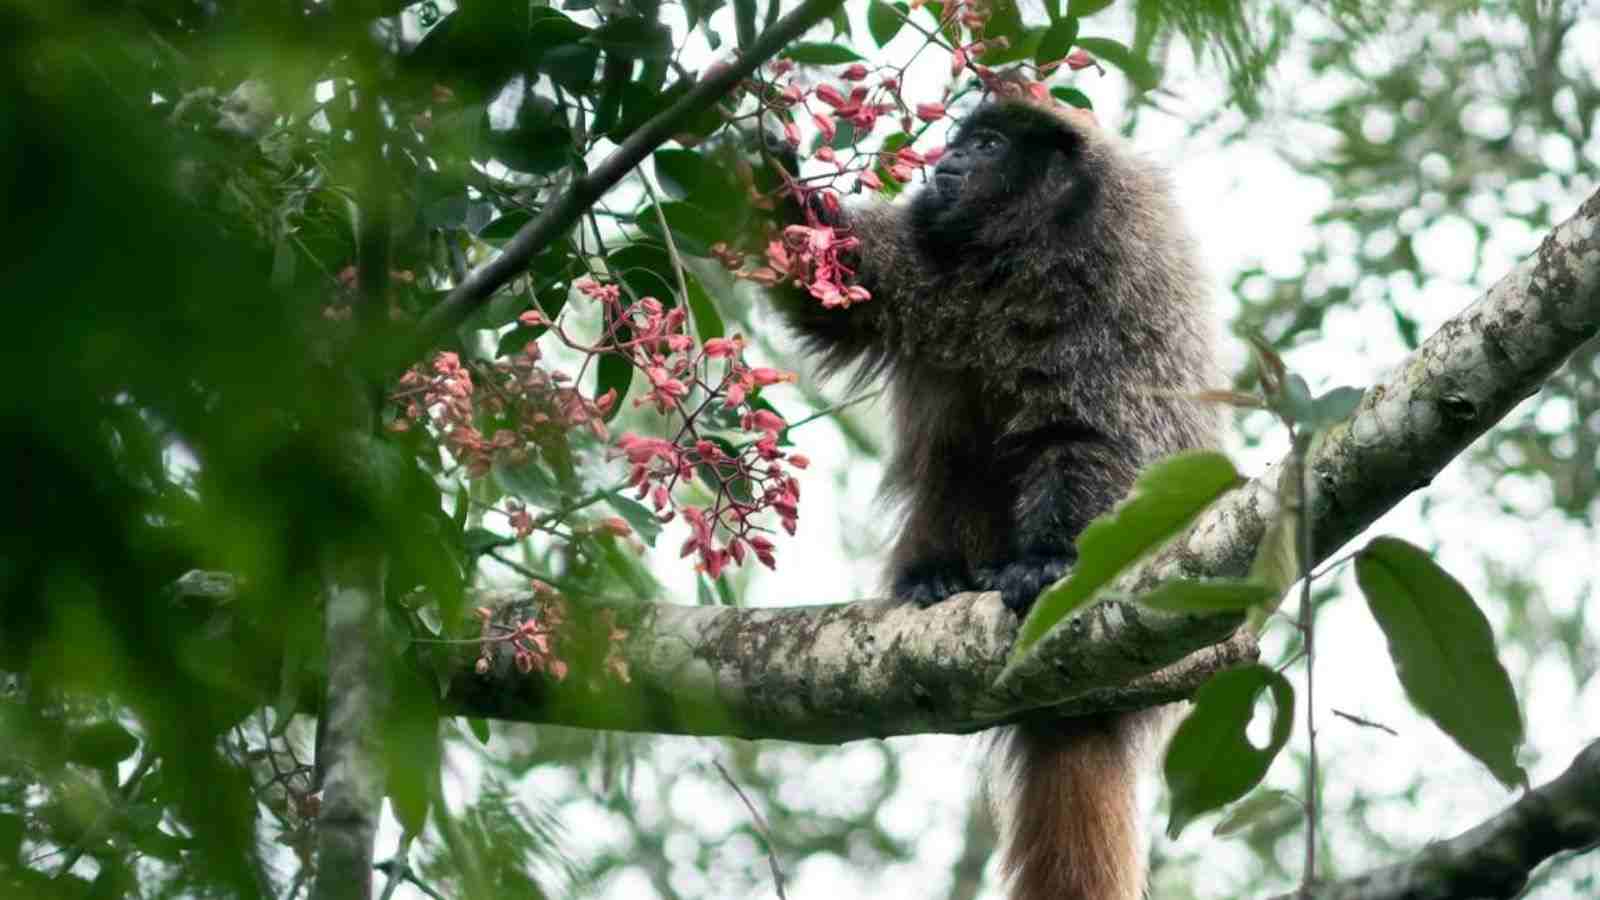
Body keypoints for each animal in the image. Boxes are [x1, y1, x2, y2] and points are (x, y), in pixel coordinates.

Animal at [763, 98, 1220, 900]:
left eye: (988, 145)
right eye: (959, 140)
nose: (946, 161)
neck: (1016, 259)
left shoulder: (1115, 281)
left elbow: (1088, 435)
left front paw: (1048, 562)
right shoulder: (923, 262)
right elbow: (832, 292)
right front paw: (764, 168)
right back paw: (938, 575)